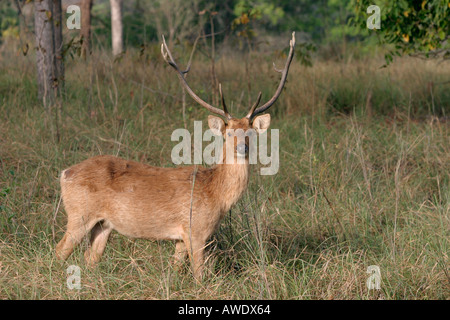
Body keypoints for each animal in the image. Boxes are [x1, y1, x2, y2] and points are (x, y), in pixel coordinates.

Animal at [55, 31, 296, 278]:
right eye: (228, 133)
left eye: (251, 133)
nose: (242, 148)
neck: (216, 195)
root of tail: (65, 173)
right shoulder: (195, 230)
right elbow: (199, 275)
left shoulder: (180, 238)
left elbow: (176, 268)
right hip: (79, 213)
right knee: (59, 250)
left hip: (103, 224)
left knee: (90, 258)